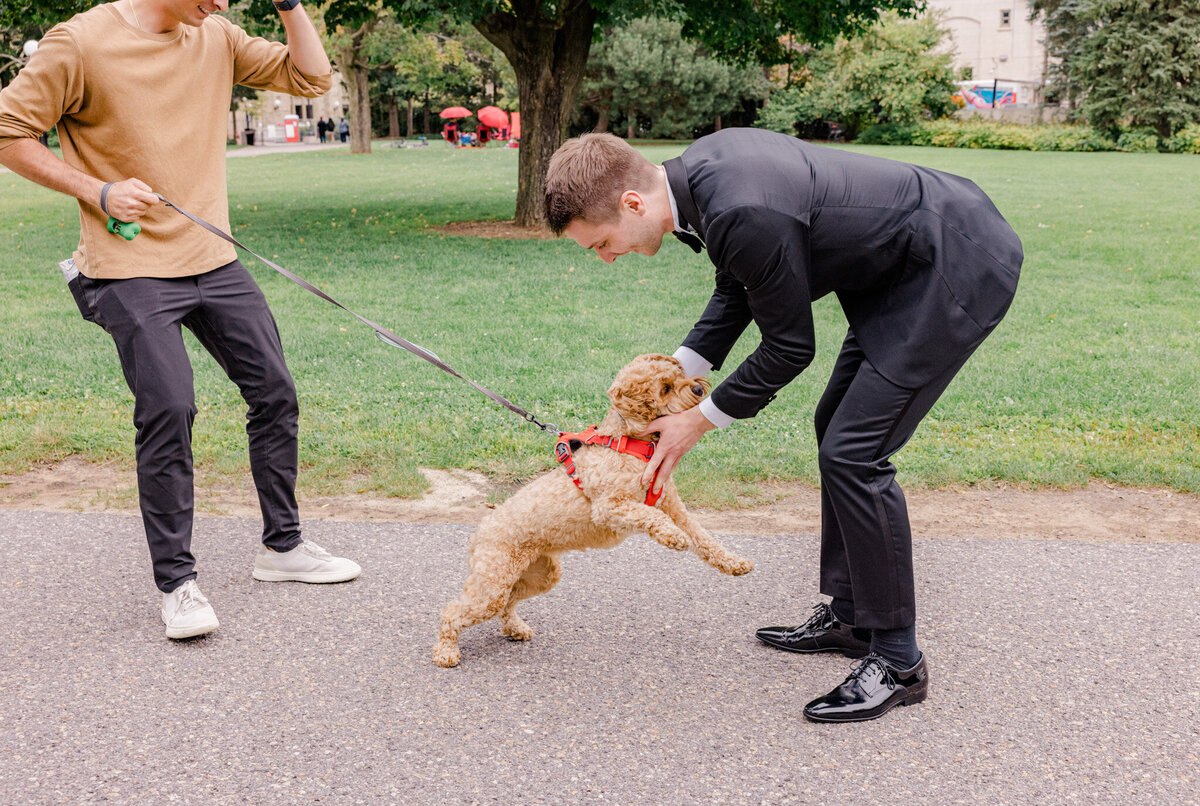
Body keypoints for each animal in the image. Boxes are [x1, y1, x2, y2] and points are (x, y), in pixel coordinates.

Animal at [432, 355, 748, 666]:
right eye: (665, 388)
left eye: (678, 375)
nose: (698, 388)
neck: (627, 443)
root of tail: (479, 533)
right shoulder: (610, 508)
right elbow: (653, 517)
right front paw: (673, 537)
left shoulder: (672, 504)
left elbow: (703, 538)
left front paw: (734, 562)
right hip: (493, 584)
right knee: (452, 612)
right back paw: (446, 652)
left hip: (539, 575)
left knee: (507, 603)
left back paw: (515, 629)